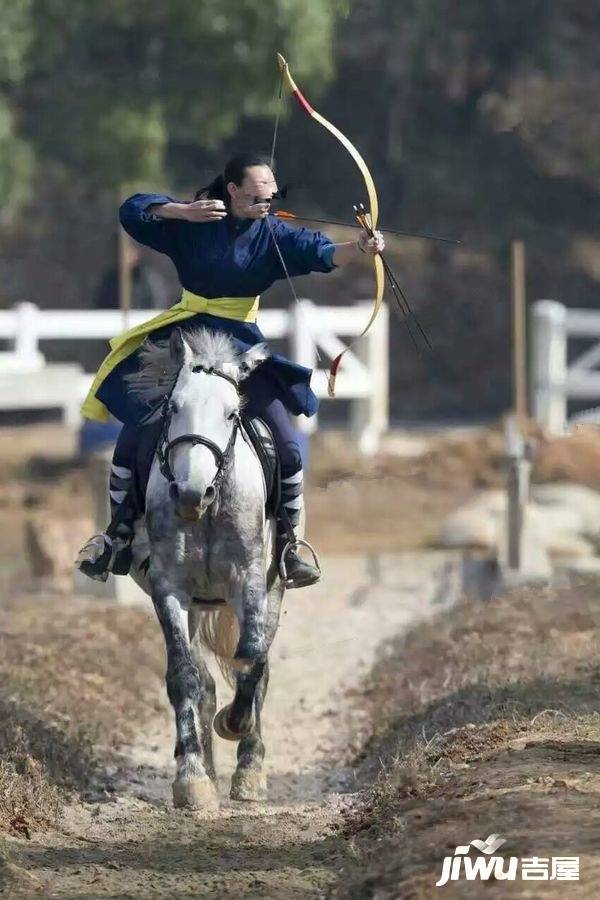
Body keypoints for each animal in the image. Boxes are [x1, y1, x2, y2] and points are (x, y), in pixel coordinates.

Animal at [123, 326, 288, 808]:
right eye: (174, 408)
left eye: (232, 414)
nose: (190, 493)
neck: (208, 512)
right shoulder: (170, 591)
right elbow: (183, 677)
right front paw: (192, 778)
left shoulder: (250, 585)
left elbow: (251, 662)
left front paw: (237, 731)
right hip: (196, 605)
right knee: (202, 680)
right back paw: (210, 769)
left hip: (272, 591)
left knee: (256, 666)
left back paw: (248, 768)